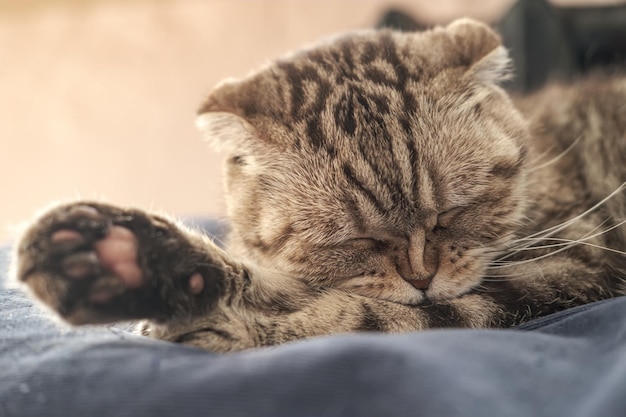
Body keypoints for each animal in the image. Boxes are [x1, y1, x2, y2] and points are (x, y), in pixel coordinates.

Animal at [11, 18, 624, 352]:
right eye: (356, 241)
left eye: (452, 213)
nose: (422, 276)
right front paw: (129, 261)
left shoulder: (576, 265)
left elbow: (360, 318)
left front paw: (226, 321)